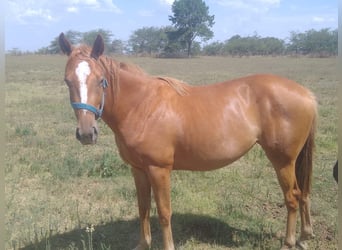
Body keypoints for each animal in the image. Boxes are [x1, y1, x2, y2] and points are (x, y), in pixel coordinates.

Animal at [58, 33, 316, 250]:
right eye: (67, 81)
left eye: (101, 80)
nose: (86, 133)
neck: (142, 106)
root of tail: (306, 94)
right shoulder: (138, 169)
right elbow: (143, 208)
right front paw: (143, 244)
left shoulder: (159, 169)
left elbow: (164, 212)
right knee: (302, 193)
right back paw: (305, 235)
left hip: (283, 161)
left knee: (292, 197)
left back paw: (289, 242)